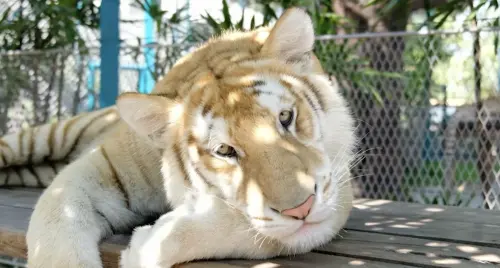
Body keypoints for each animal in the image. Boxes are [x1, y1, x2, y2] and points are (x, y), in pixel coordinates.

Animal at [1, 8, 358, 268]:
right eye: (224, 150)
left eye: (286, 118)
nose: (301, 209)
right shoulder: (91, 171)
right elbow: (55, 225)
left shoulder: (338, 184)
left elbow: (252, 227)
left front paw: (147, 246)